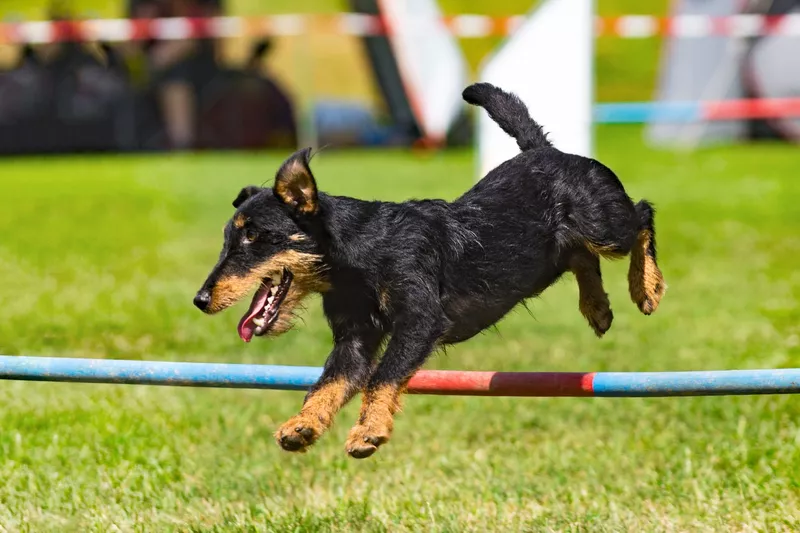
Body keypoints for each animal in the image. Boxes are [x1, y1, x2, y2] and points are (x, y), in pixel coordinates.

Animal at [195, 82, 668, 458]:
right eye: (228, 237)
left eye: (254, 236)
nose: (200, 300)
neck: (358, 254)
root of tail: (546, 151)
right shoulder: (354, 341)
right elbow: (329, 382)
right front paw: (302, 426)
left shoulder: (419, 320)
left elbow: (383, 376)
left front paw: (368, 433)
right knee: (583, 259)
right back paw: (598, 308)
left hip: (604, 224)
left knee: (642, 216)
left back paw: (646, 289)